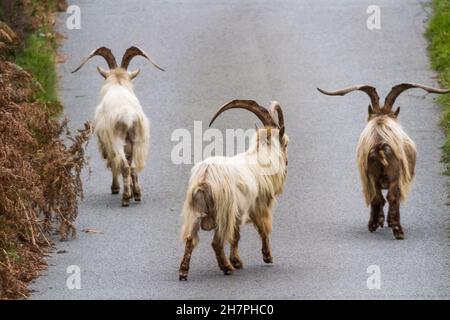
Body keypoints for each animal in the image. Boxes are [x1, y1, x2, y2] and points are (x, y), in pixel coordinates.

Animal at [73, 46, 164, 206]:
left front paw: (115, 188)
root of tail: (128, 117)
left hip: (117, 141)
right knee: (133, 167)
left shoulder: (106, 142)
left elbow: (112, 163)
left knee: (124, 166)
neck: (118, 83)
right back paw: (137, 195)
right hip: (137, 141)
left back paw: (125, 198)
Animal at [178, 99, 288, 280]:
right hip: (224, 212)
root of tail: (205, 178)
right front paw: (266, 257)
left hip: (196, 211)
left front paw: (237, 260)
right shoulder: (258, 206)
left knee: (190, 239)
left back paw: (183, 271)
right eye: (286, 143)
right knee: (216, 242)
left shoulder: (238, 213)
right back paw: (227, 268)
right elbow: (263, 230)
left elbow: (236, 237)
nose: (287, 162)